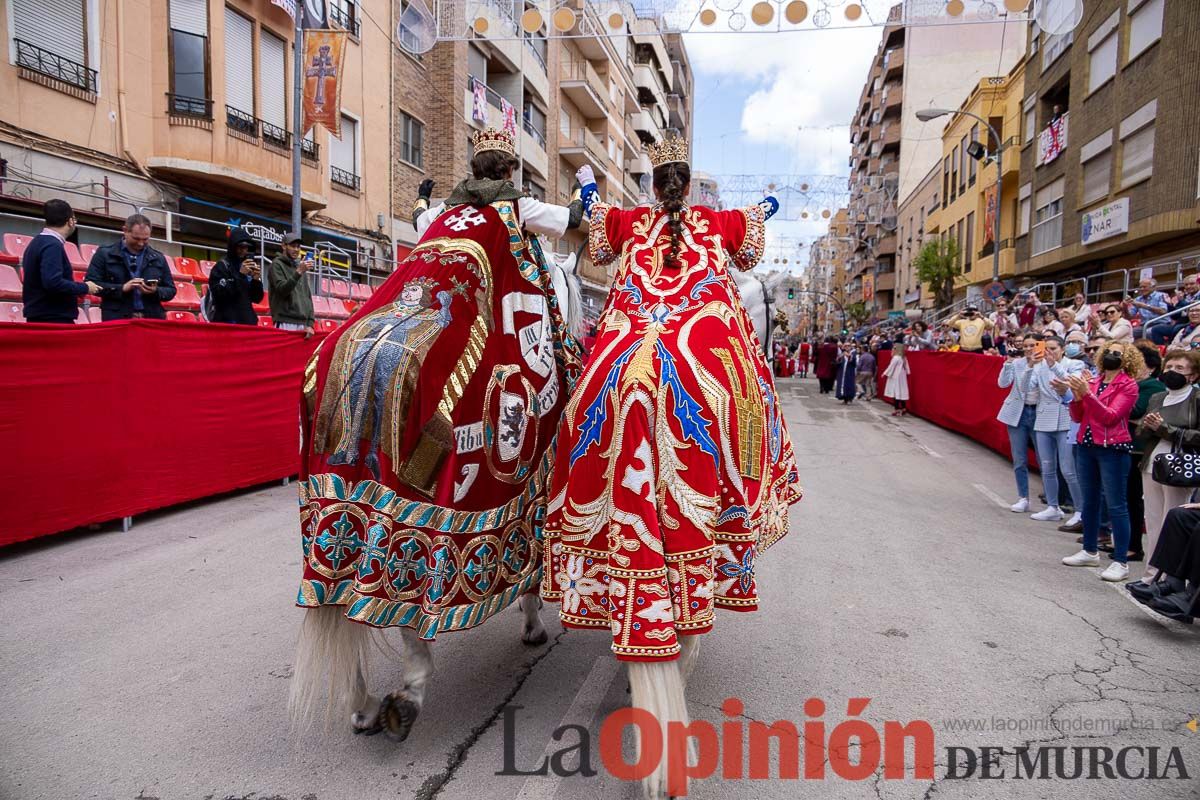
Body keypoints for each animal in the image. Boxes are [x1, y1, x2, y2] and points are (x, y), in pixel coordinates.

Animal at [290, 245, 585, 743]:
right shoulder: (538, 499)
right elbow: (529, 572)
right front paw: (532, 623)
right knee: (410, 621)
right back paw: (405, 698)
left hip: (330, 525)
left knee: (335, 600)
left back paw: (364, 705)